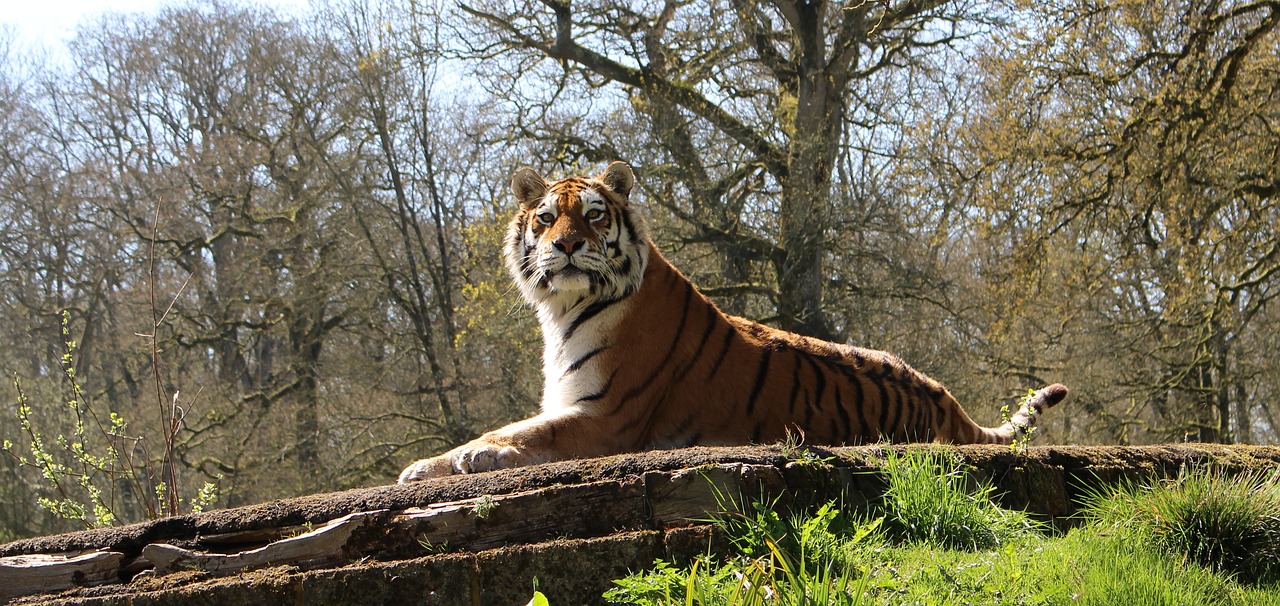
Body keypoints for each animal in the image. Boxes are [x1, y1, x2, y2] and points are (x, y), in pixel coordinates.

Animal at [399, 160, 1070, 481]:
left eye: (592, 214)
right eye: (544, 218)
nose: (564, 246)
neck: (563, 308)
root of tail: (944, 399)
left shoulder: (605, 415)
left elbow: (519, 436)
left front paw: (466, 460)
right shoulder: (572, 404)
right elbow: (508, 430)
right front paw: (429, 466)